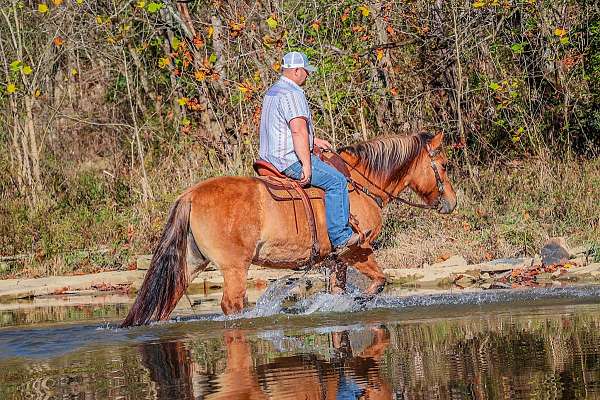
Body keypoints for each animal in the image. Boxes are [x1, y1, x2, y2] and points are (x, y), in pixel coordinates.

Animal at [123, 133, 460, 326]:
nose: (452, 202)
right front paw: (359, 301)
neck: (359, 184)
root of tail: (190, 195)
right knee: (232, 304)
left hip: (190, 264)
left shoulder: (335, 261)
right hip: (234, 268)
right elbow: (379, 282)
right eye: (443, 165)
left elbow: (340, 290)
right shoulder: (356, 251)